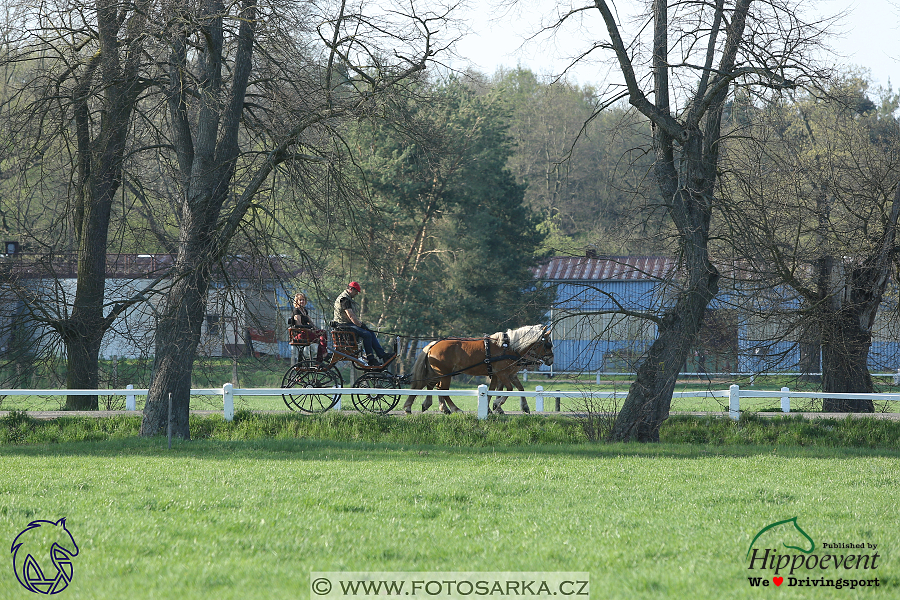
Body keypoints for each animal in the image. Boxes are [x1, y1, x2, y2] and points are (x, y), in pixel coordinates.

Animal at [402, 324, 556, 418]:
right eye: (548, 343)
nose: (551, 360)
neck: (509, 347)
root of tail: (434, 344)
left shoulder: (506, 374)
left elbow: (514, 389)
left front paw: (521, 407)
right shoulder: (502, 373)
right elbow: (509, 389)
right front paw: (497, 405)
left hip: (437, 373)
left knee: (427, 386)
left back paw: (417, 407)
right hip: (444, 373)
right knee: (441, 389)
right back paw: (454, 409)